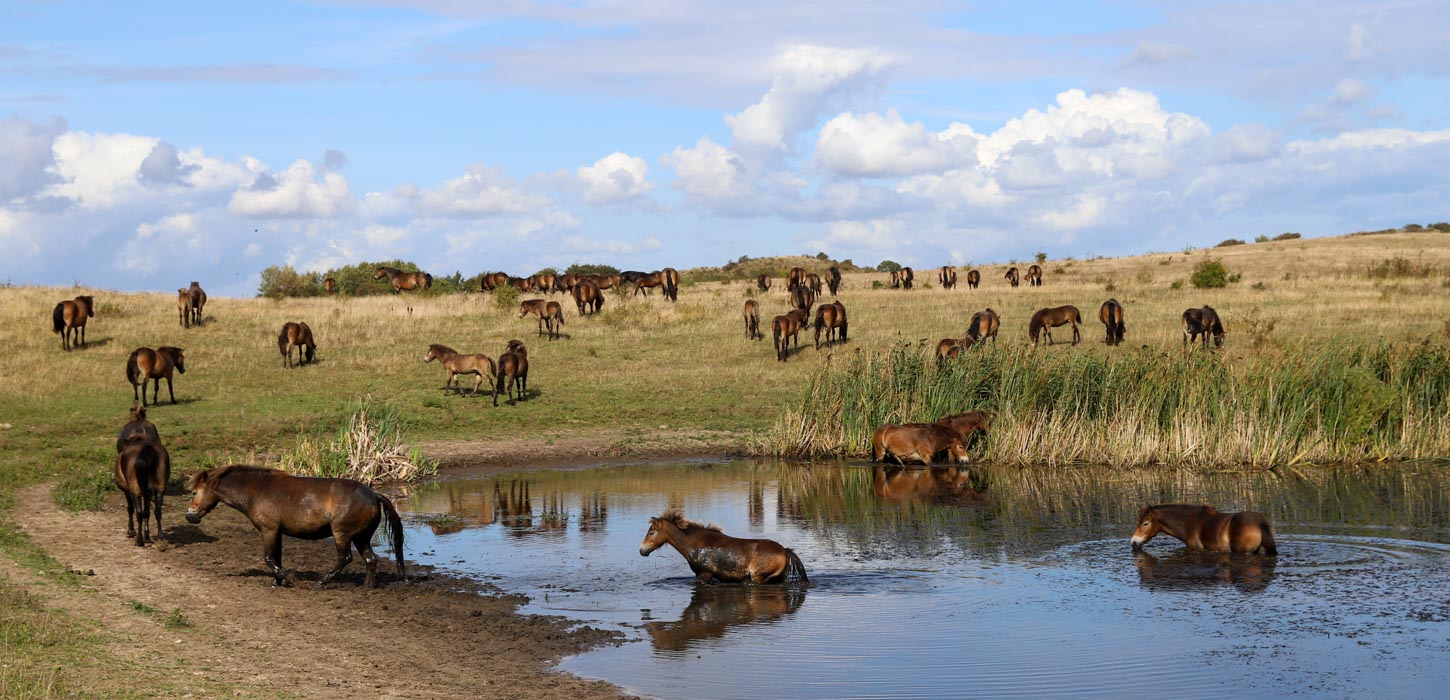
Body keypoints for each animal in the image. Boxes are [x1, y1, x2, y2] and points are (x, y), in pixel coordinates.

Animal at [184, 469, 408, 588]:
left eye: (195, 492)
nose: (189, 515)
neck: (257, 490)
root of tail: (373, 495)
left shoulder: (268, 530)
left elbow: (268, 558)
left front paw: (286, 578)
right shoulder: (277, 532)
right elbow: (277, 557)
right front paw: (277, 581)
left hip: (342, 534)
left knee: (345, 558)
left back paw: (321, 582)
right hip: (361, 537)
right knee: (371, 560)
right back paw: (368, 586)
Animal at [640, 510, 812, 585]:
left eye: (651, 532)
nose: (642, 550)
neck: (692, 544)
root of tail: (785, 551)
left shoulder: (705, 574)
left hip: (757, 577)